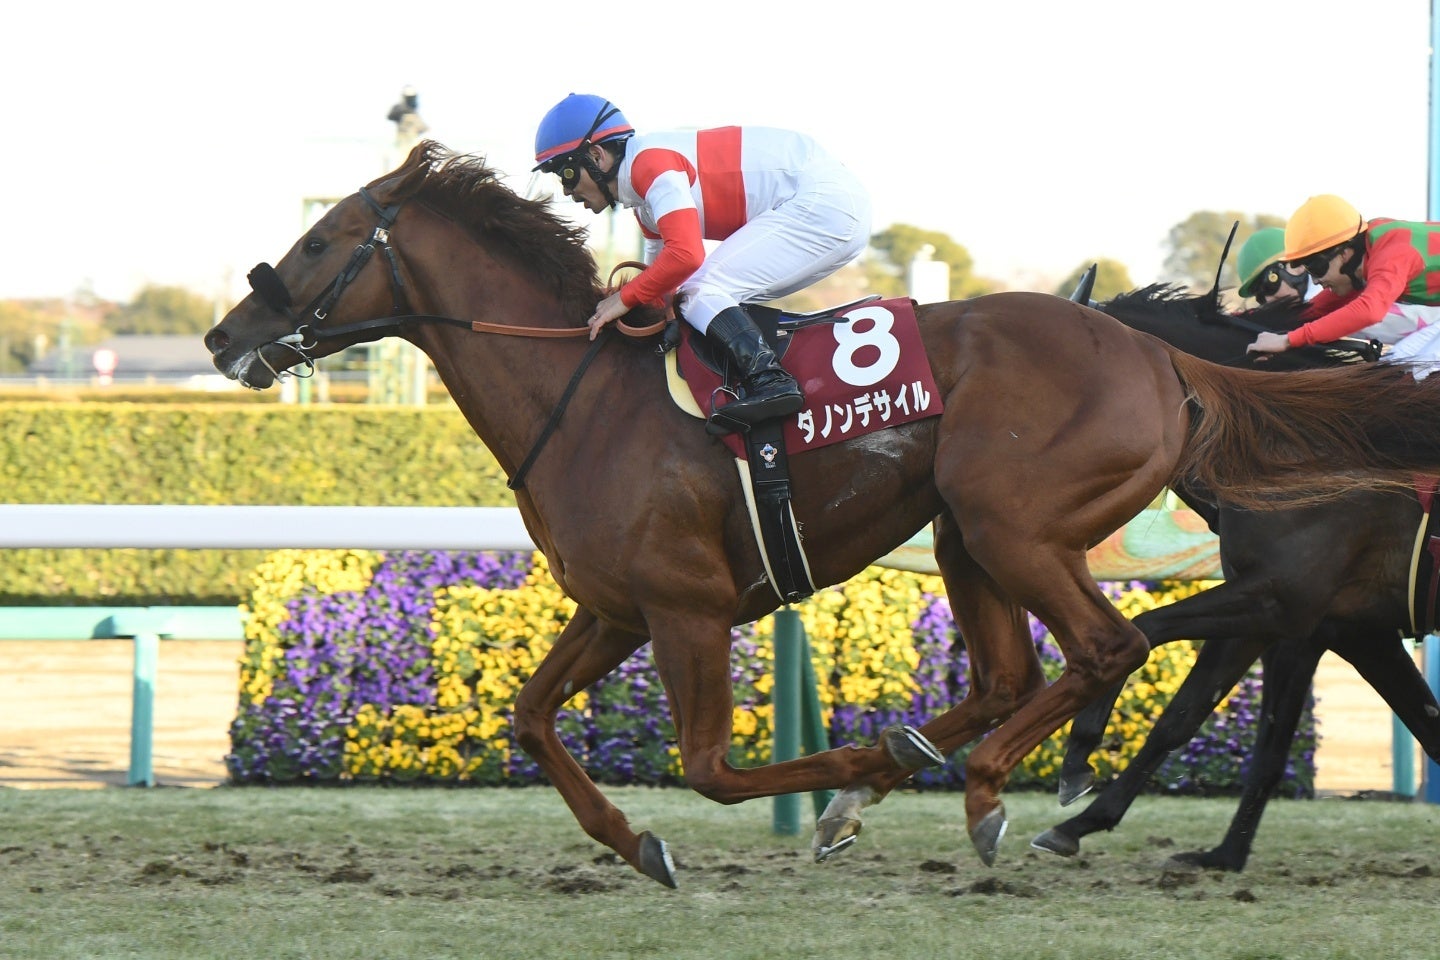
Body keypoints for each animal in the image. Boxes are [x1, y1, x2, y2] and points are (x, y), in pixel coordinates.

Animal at [1028, 284, 1440, 871]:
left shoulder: (1281, 600)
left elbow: (1147, 629)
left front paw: (1078, 755)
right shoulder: (1329, 628)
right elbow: (1192, 719)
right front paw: (1220, 852)